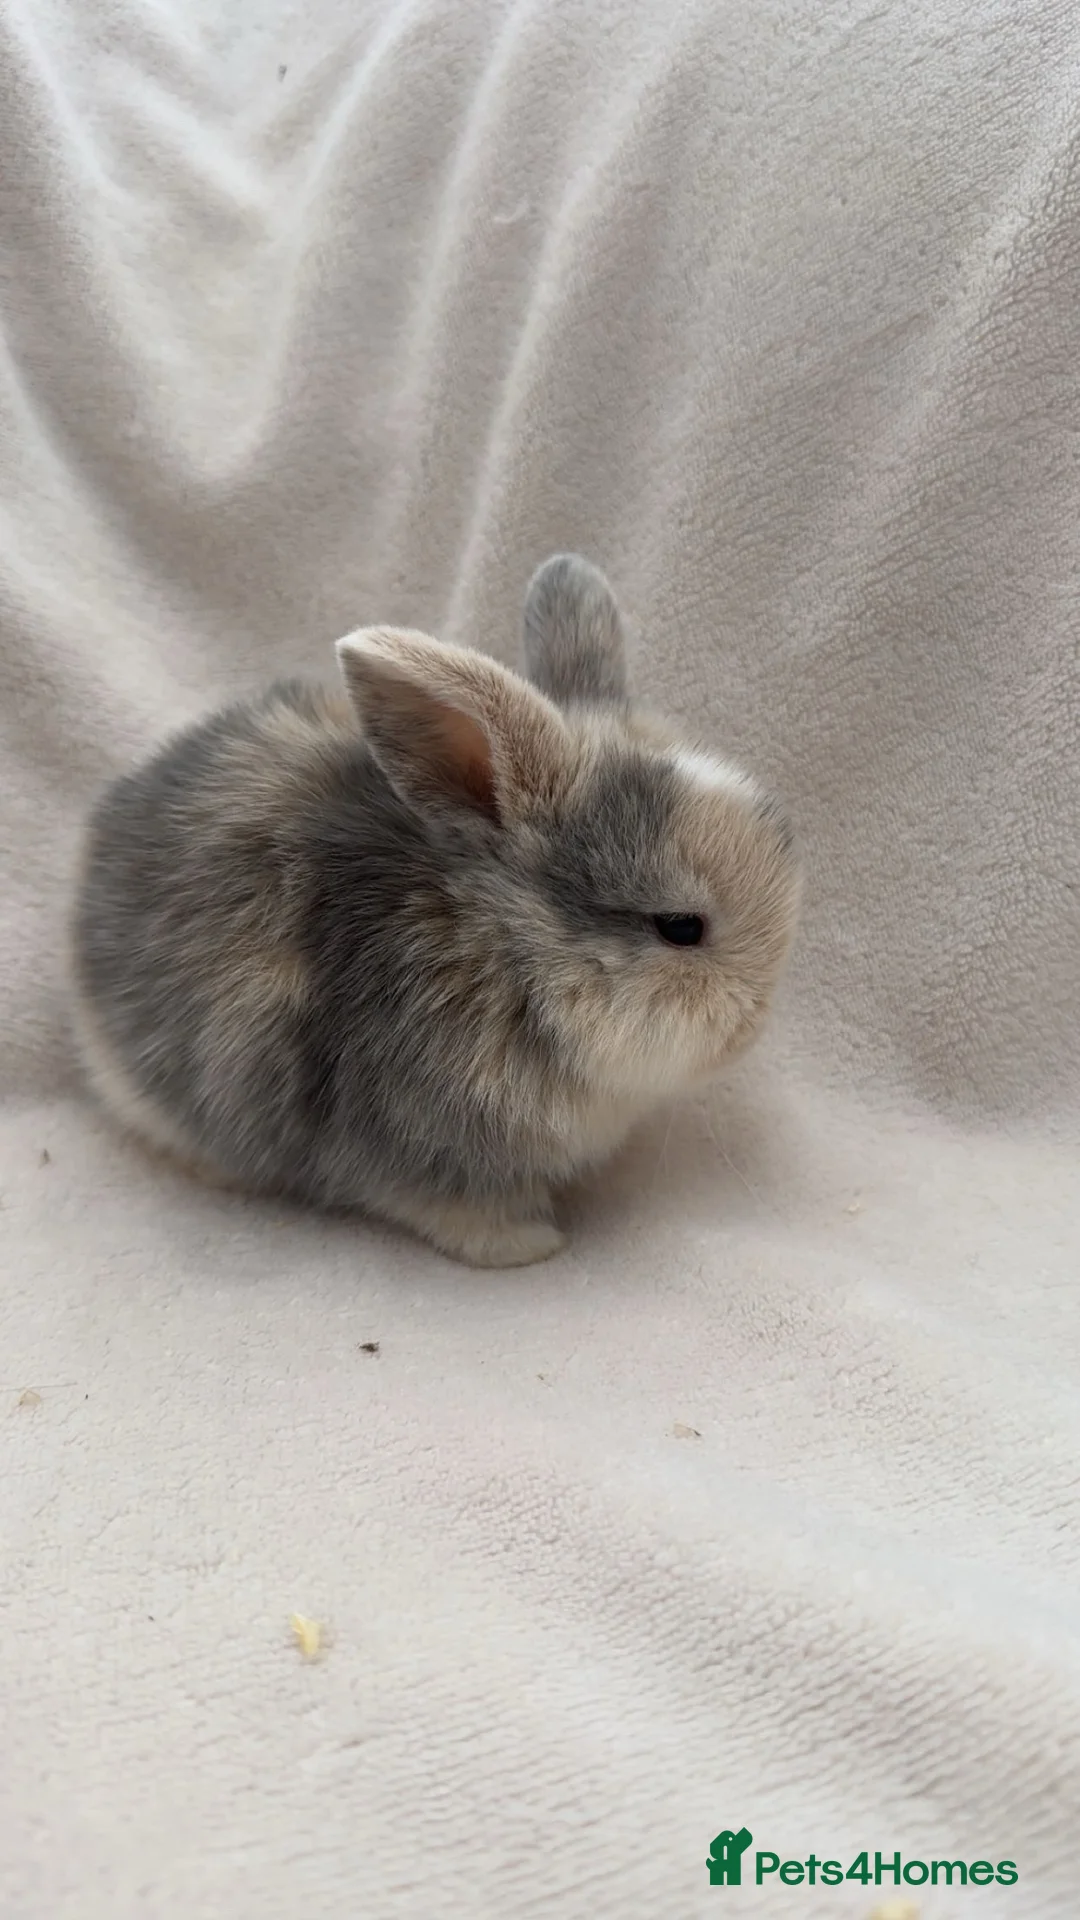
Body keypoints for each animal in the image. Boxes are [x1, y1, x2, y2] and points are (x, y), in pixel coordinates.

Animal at [70, 554, 801, 1267]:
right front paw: (530, 1246)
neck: (503, 952)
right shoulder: (415, 1142)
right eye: (680, 928)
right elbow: (456, 1211)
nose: (755, 1025)